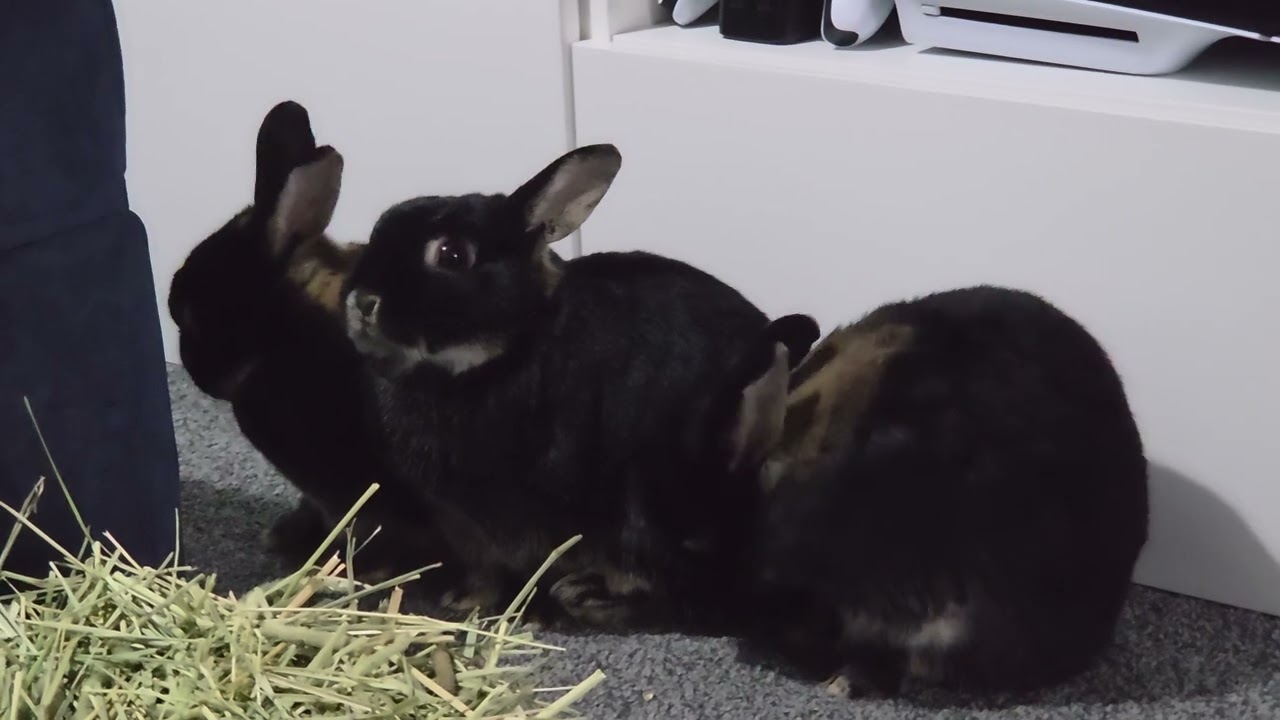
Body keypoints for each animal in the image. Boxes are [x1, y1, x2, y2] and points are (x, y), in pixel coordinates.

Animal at [335, 142, 821, 633]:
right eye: (378, 230)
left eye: (451, 254)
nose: (362, 302)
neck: (499, 354)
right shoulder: (465, 527)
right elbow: (484, 570)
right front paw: (466, 603)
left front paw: (531, 617)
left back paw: (587, 597)